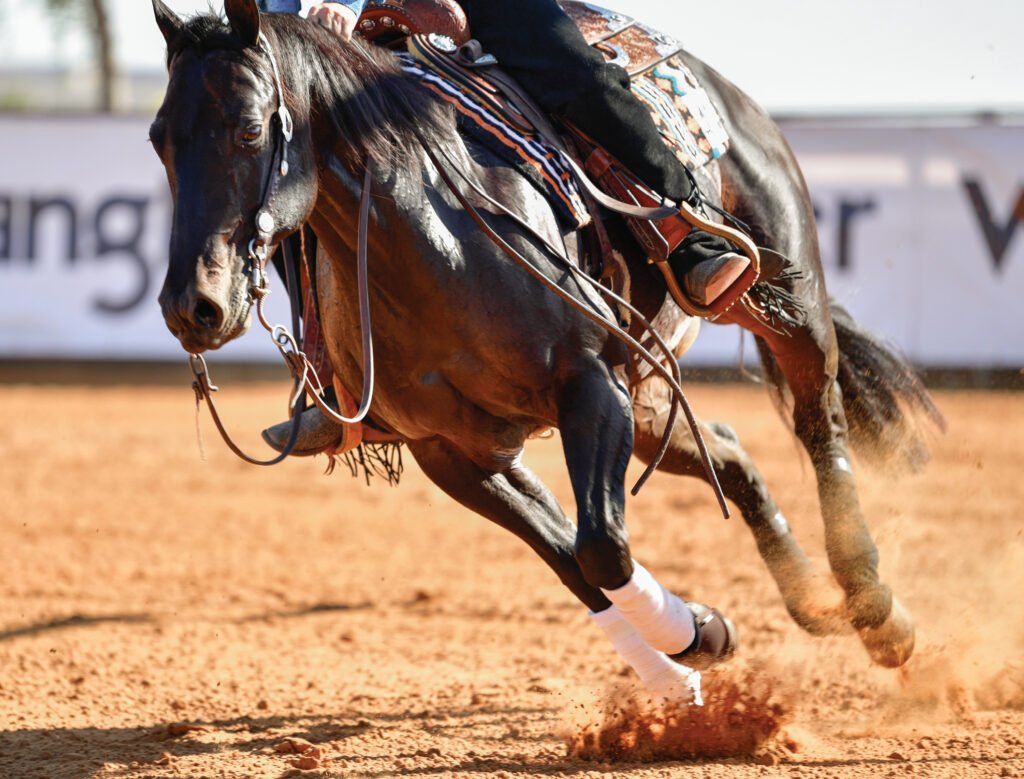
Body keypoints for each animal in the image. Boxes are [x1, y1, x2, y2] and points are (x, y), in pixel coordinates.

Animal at [149, 0, 943, 691]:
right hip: (645, 389)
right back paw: (811, 600)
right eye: (160, 138)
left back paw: (877, 611)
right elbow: (571, 559)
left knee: (820, 420)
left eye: (251, 130)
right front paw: (688, 650)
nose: (193, 306)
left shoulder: (587, 385)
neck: (435, 236)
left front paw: (691, 635)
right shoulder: (454, 448)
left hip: (789, 300)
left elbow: (600, 545)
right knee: (728, 451)